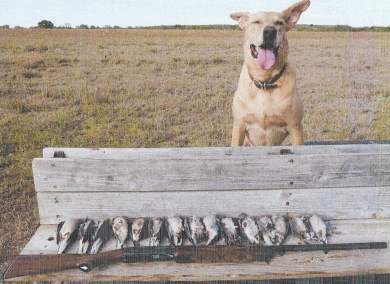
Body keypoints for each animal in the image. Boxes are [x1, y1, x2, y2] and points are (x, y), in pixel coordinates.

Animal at [230, 0, 310, 146]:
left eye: (279, 23)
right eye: (256, 22)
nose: (270, 31)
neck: (264, 81)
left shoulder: (295, 127)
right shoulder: (239, 125)